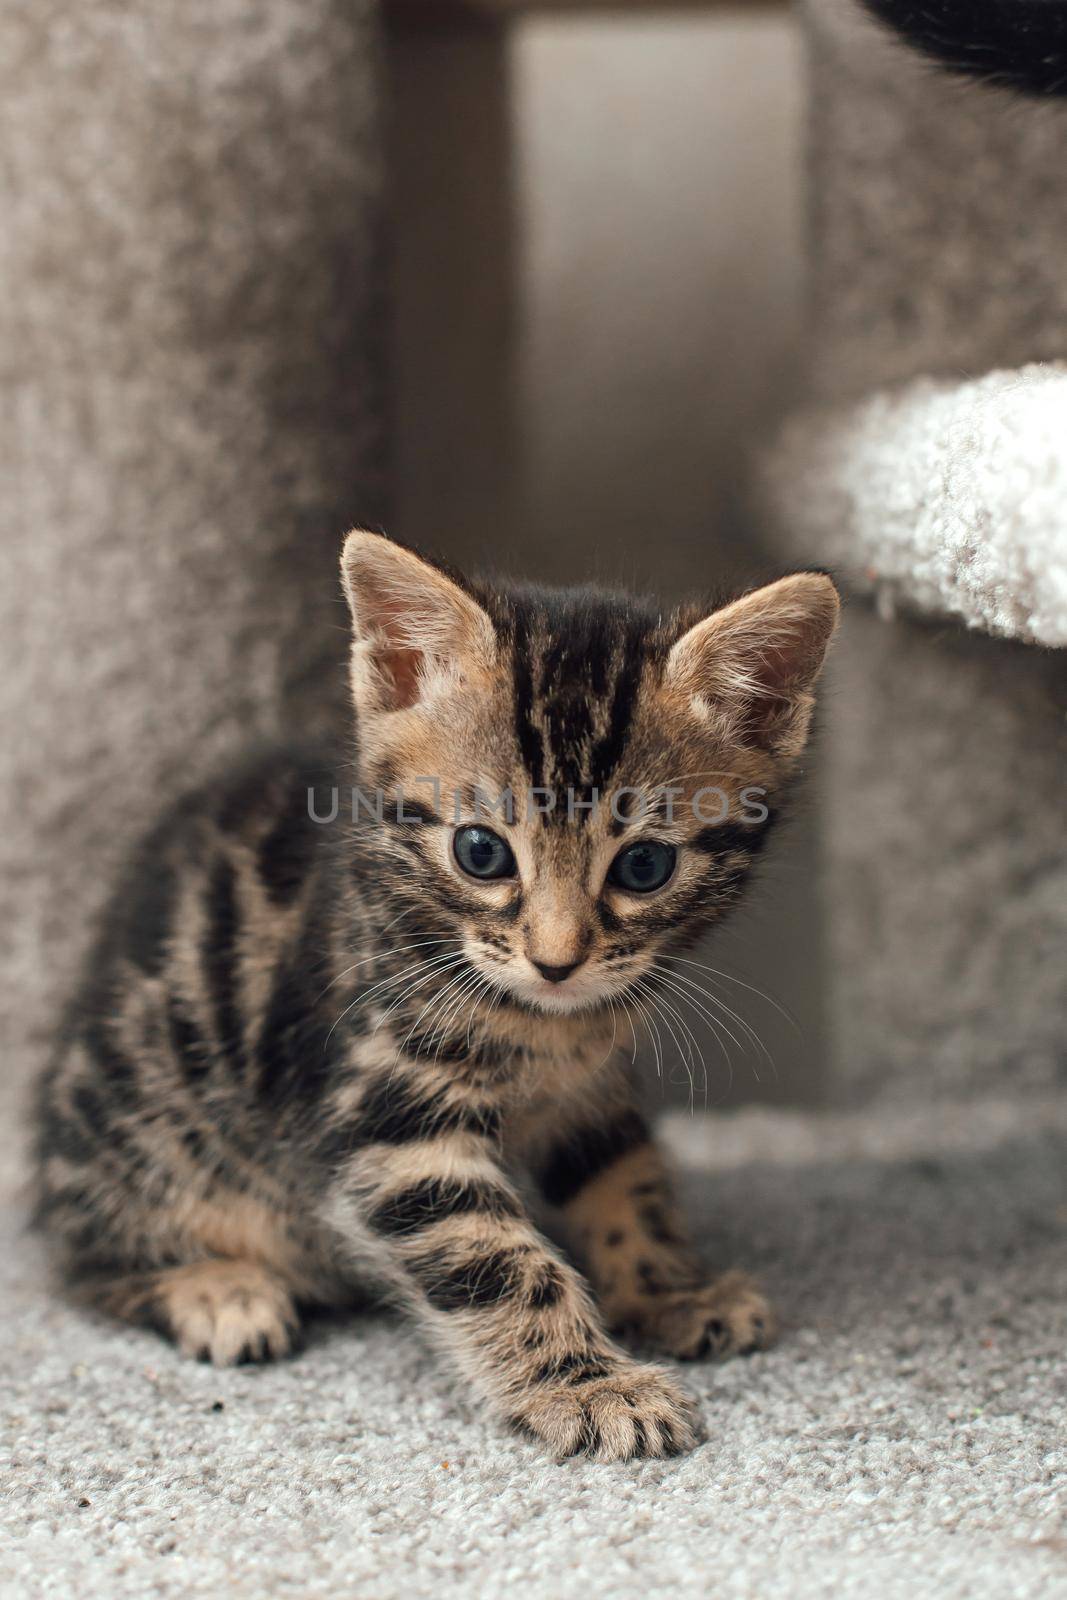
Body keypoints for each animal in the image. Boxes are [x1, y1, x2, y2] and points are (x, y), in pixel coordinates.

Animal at [35, 531, 844, 1459]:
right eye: (480, 853)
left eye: (645, 866)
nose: (556, 962)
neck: (544, 1026)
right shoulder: (390, 1116)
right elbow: (495, 1259)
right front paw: (590, 1386)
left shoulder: (590, 1089)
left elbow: (627, 1180)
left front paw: (671, 1288)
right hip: (150, 1127)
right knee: (87, 1256)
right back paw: (216, 1287)